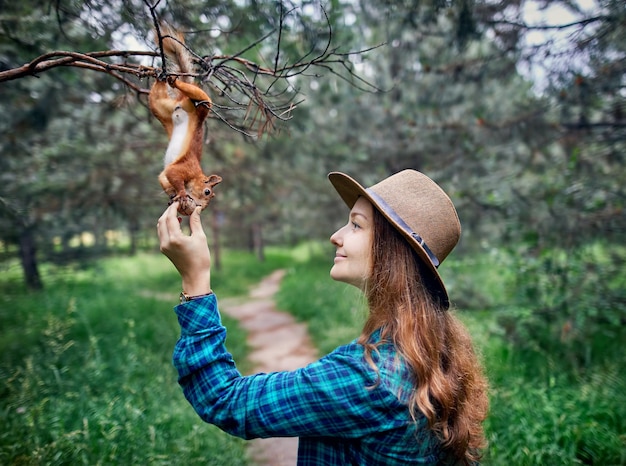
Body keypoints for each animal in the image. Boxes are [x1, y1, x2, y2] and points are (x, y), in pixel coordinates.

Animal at [149, 25, 222, 215]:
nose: (200, 208)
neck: (197, 175)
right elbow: (173, 173)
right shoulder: (185, 167)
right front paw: (181, 193)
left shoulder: (165, 175)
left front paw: (172, 195)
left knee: (156, 97)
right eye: (207, 192)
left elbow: (164, 178)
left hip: (161, 107)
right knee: (199, 96)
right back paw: (175, 82)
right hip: (203, 102)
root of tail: (184, 101)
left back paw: (160, 77)